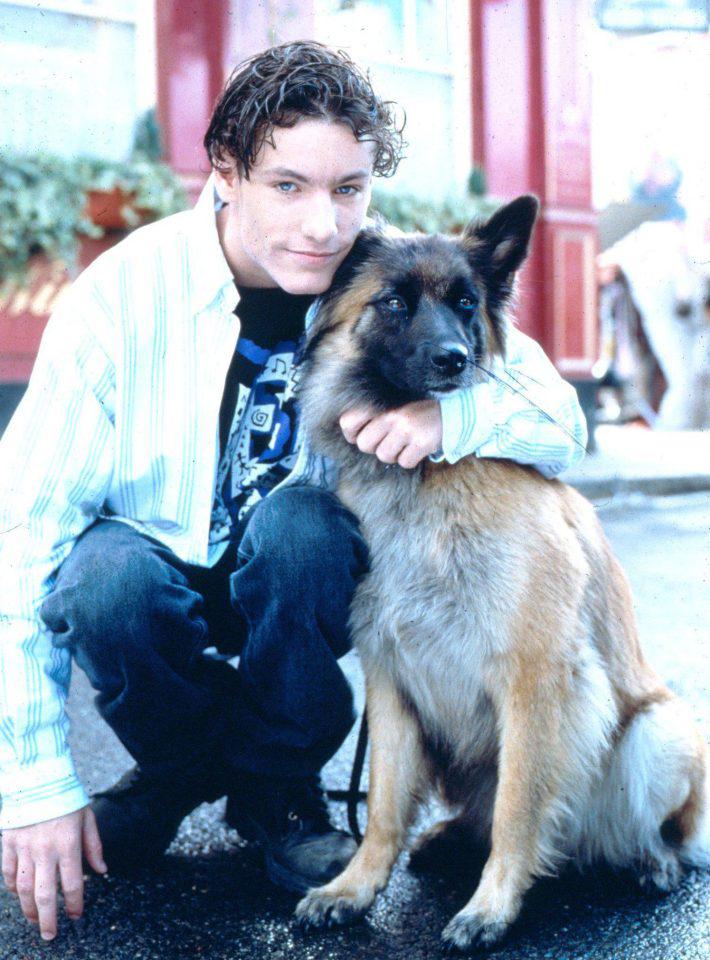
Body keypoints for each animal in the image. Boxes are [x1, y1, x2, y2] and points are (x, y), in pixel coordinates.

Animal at [292, 197, 708, 952]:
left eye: (466, 304)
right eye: (394, 302)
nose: (454, 360)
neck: (424, 480)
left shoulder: (533, 681)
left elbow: (519, 807)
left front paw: (490, 909)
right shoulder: (391, 683)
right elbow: (384, 808)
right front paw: (354, 889)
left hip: (657, 732)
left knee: (658, 833)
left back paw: (650, 861)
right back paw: (450, 838)